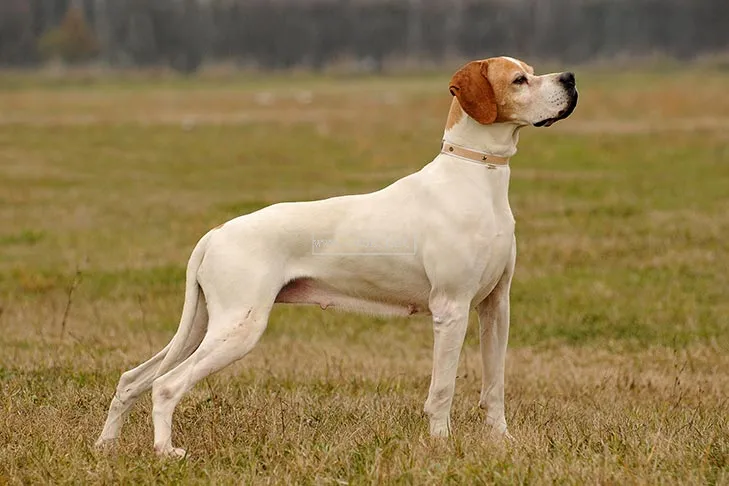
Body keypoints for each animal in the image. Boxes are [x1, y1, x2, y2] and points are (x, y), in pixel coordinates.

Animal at [95, 56, 576, 456]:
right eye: (519, 80)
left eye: (533, 71)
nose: (570, 78)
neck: (477, 175)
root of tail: (215, 234)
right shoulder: (451, 309)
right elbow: (442, 390)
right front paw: (441, 445)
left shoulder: (496, 306)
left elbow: (494, 387)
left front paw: (502, 441)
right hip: (237, 328)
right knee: (165, 385)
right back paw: (166, 452)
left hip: (203, 326)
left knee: (132, 379)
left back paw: (107, 445)